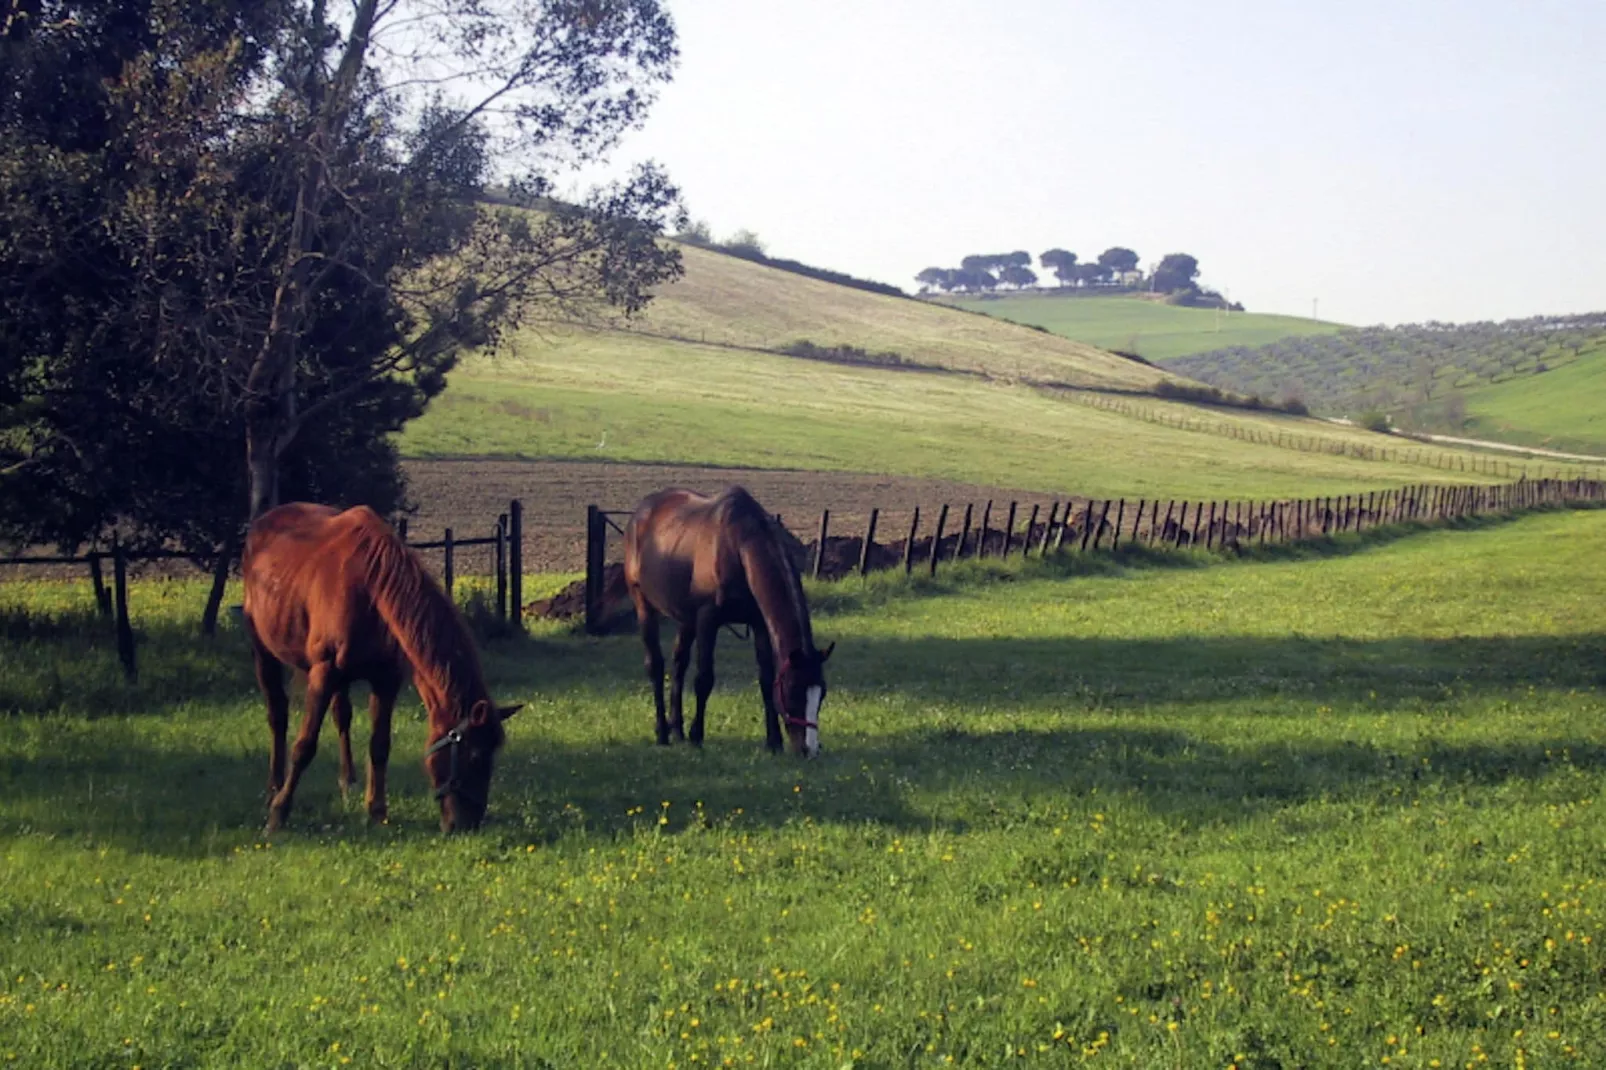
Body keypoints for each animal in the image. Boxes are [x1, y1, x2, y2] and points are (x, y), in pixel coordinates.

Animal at [240, 501, 517, 835]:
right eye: (475, 757)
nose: (468, 824)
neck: (370, 587)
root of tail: (262, 523)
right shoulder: (323, 672)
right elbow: (304, 746)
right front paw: (279, 813)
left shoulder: (385, 679)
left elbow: (379, 745)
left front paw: (377, 811)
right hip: (264, 650)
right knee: (278, 715)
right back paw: (274, 789)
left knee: (341, 715)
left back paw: (347, 781)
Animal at [619, 488, 835, 755]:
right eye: (793, 691)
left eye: (821, 693)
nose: (810, 750)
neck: (737, 547)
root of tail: (640, 513)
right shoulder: (707, 620)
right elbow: (704, 679)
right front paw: (697, 736)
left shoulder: (759, 623)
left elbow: (765, 680)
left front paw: (774, 741)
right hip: (644, 606)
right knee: (656, 666)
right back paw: (662, 733)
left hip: (685, 618)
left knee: (679, 664)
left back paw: (677, 729)